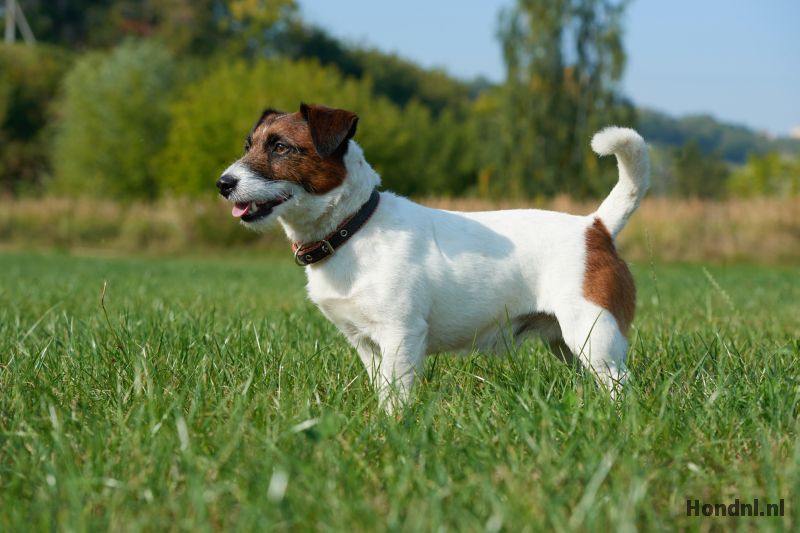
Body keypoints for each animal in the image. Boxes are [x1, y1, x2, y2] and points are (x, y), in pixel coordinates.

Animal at [217, 103, 648, 408]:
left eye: (281, 147)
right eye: (248, 146)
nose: (223, 183)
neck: (354, 226)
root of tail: (595, 227)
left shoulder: (401, 336)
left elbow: (397, 395)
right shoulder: (366, 345)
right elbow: (381, 390)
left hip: (594, 336)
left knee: (622, 386)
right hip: (567, 344)